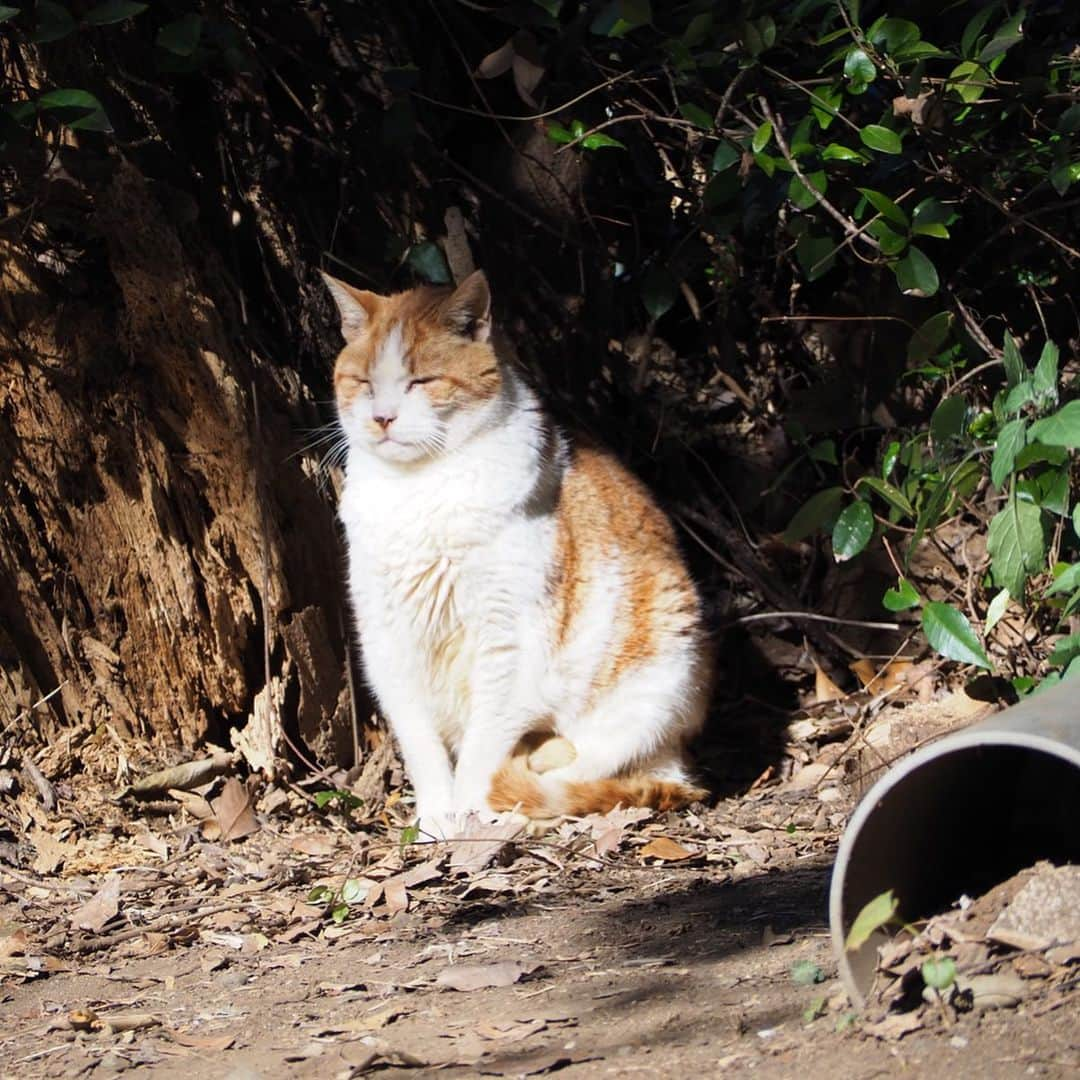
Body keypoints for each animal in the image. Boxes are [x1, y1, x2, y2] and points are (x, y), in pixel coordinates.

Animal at [321, 267, 708, 833]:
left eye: (421, 382)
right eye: (365, 384)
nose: (383, 417)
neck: (419, 491)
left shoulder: (510, 644)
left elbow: (483, 750)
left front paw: (468, 817)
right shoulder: (387, 641)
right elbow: (421, 745)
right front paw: (435, 820)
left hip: (662, 669)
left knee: (587, 768)